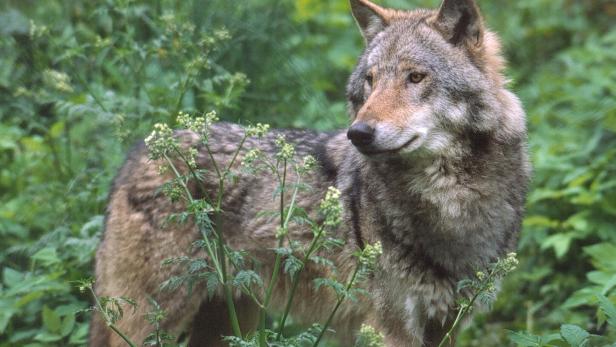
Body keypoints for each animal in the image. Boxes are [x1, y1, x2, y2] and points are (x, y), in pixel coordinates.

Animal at [90, 0, 528, 346]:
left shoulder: (448, 323)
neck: (452, 201)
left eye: (416, 77)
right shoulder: (391, 327)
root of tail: (139, 152)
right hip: (154, 321)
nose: (358, 133)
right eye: (370, 82)